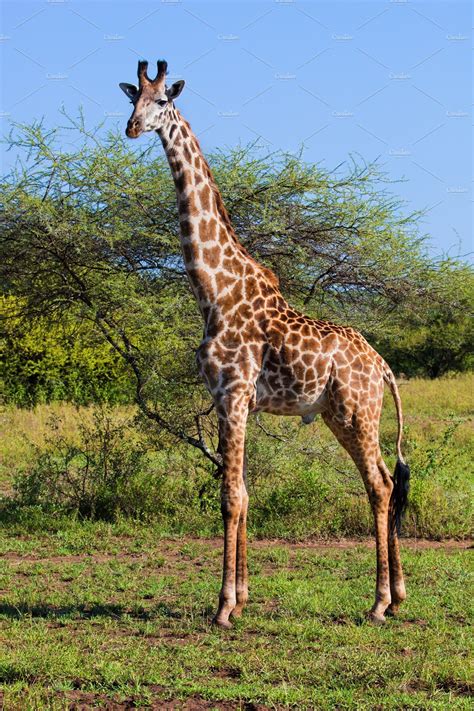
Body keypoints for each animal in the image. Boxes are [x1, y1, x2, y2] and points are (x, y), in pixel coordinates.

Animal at [119, 59, 412, 628]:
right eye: (129, 99)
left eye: (163, 100)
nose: (133, 128)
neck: (213, 289)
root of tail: (383, 366)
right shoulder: (231, 400)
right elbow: (246, 493)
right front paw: (244, 595)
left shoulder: (232, 393)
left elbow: (231, 497)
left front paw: (223, 607)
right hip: (339, 415)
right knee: (388, 480)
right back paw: (399, 593)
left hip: (358, 412)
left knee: (381, 484)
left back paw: (378, 603)